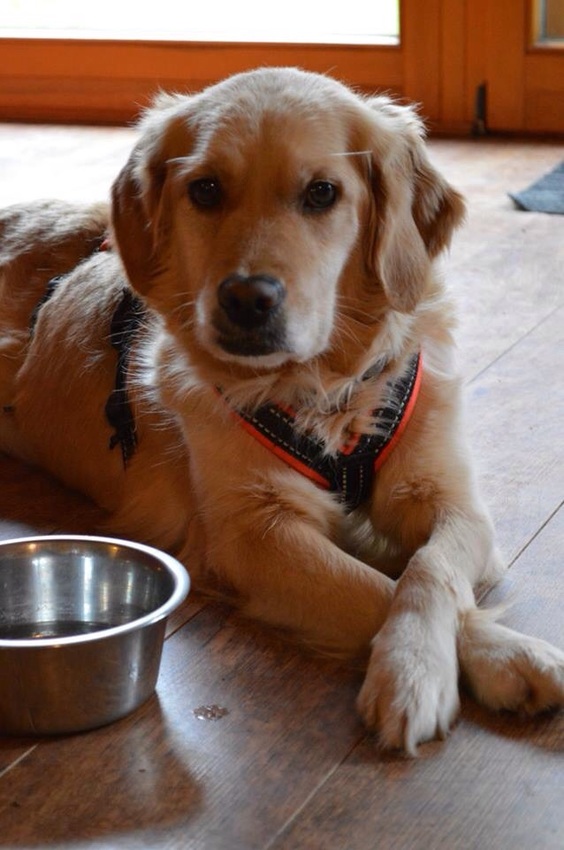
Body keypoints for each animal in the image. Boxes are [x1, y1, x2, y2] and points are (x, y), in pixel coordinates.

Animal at [1, 67, 563, 754]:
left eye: (322, 192)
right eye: (205, 189)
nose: (247, 299)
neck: (324, 387)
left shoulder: (450, 496)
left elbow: (428, 569)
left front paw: (480, 656)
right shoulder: (255, 532)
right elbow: (372, 586)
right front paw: (427, 671)